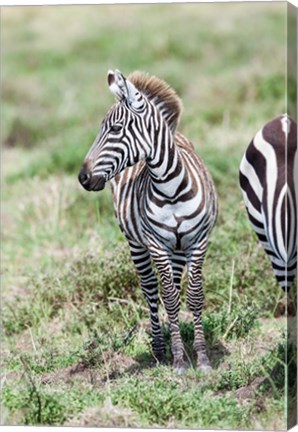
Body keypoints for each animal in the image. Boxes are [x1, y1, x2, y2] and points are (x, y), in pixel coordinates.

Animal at [78, 69, 218, 372]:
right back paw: (159, 348)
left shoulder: (198, 242)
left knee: (172, 286)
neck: (172, 188)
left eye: (115, 129)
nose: (83, 178)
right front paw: (178, 359)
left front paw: (201, 356)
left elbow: (193, 296)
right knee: (153, 290)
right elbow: (169, 298)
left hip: (177, 249)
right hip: (137, 244)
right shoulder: (156, 245)